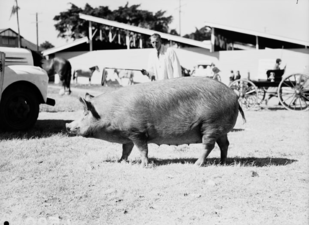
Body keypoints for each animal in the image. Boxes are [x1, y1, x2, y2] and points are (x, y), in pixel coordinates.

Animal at [66, 76, 244, 166]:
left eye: (85, 114)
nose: (68, 125)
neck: (112, 113)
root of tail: (234, 94)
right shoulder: (127, 135)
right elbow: (126, 149)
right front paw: (120, 161)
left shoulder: (137, 132)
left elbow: (142, 149)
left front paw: (145, 165)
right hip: (220, 129)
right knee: (224, 144)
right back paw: (222, 162)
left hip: (210, 125)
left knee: (209, 145)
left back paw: (197, 164)